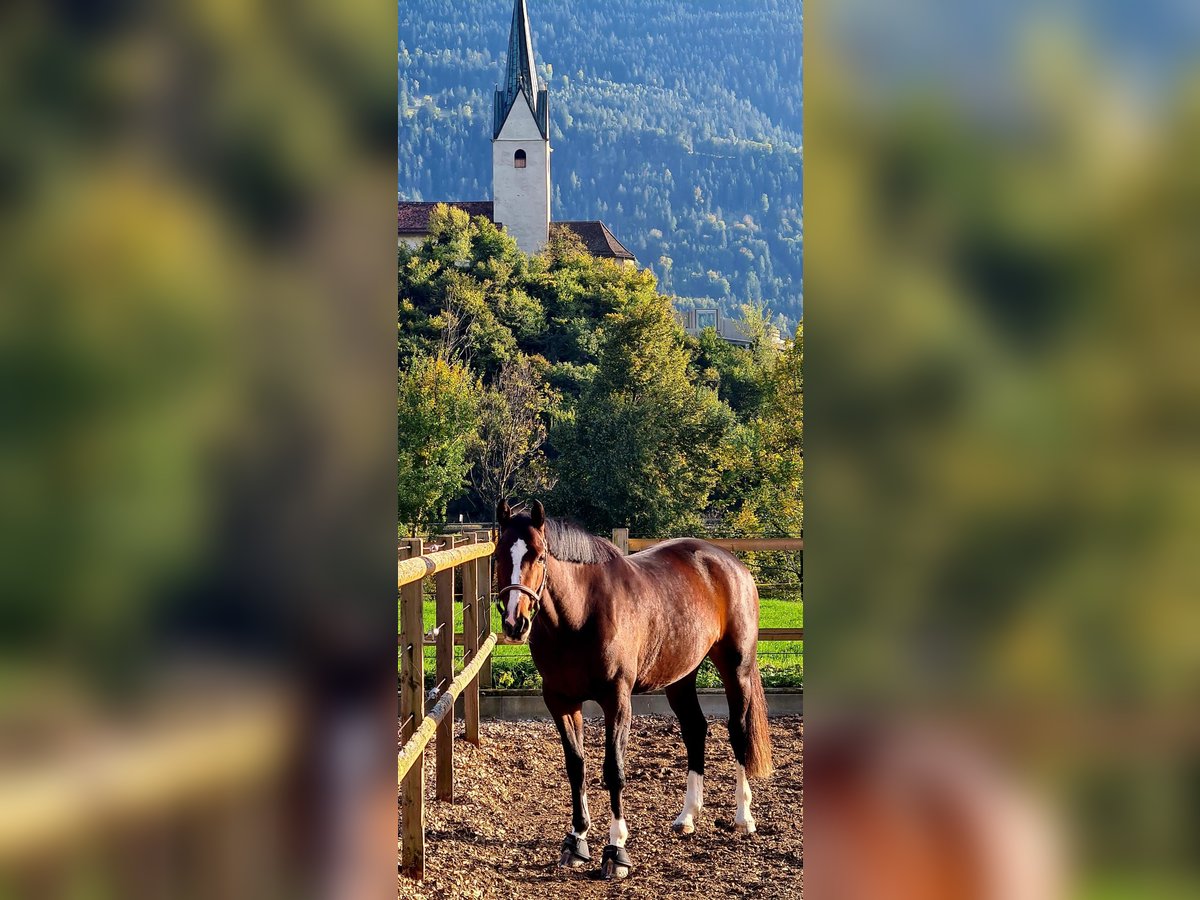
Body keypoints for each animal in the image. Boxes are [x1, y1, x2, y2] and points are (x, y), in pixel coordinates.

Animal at [492, 499, 773, 880]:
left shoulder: (617, 699)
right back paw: (687, 816)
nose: (514, 622)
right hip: (681, 676)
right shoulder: (561, 701)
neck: (581, 613)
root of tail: (730, 563)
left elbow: (614, 770)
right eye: (498, 555)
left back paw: (743, 817)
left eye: (538, 555)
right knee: (695, 730)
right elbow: (576, 767)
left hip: (737, 668)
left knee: (738, 731)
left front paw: (616, 850)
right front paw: (576, 841)